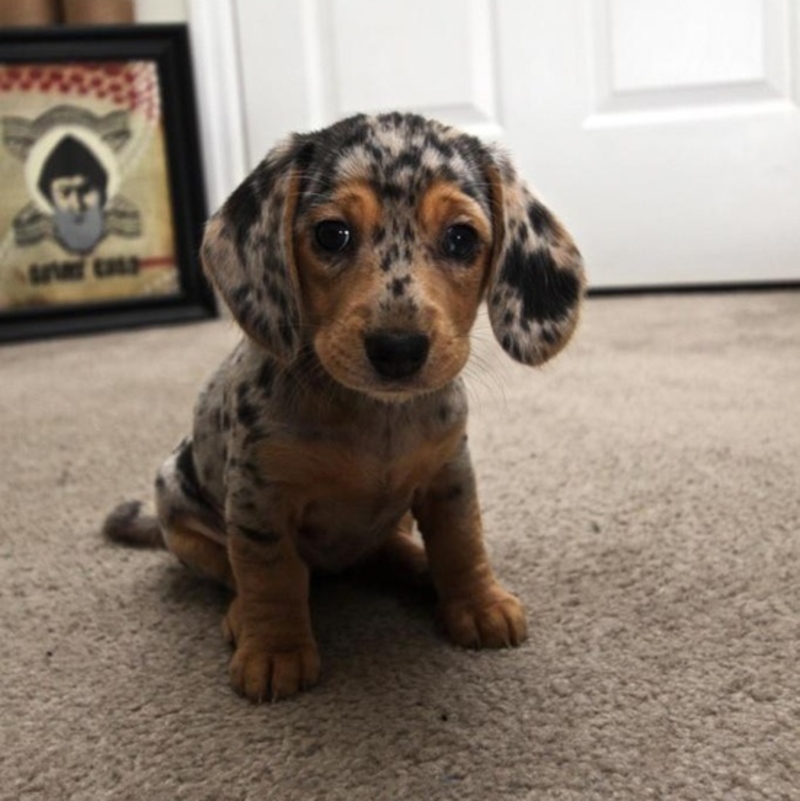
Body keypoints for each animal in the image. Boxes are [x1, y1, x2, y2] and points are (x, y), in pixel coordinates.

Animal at [103, 111, 584, 700]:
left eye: (461, 238)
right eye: (332, 234)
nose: (398, 349)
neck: (377, 418)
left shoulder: (449, 476)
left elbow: (462, 542)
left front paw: (477, 601)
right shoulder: (260, 499)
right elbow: (271, 574)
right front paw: (275, 649)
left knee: (388, 548)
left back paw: (419, 568)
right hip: (181, 515)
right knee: (230, 569)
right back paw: (243, 615)